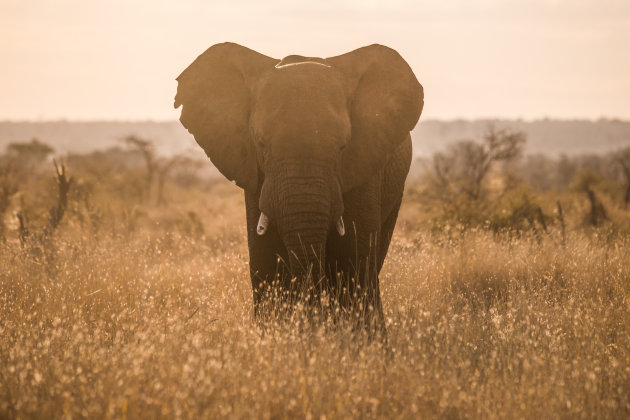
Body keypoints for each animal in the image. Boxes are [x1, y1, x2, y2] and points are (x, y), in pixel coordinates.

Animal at [174, 41, 424, 334]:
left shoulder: (365, 166)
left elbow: (354, 260)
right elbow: (265, 259)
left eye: (342, 147)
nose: (314, 323)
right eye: (260, 143)